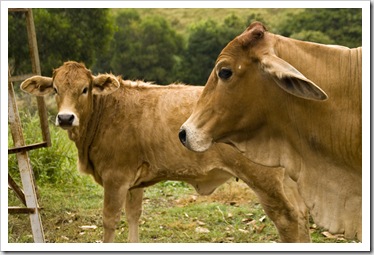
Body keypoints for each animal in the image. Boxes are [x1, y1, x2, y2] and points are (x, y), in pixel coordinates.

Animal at [20, 61, 310, 243]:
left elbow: (110, 220)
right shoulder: (133, 181)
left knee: (286, 219)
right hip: (289, 179)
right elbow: (133, 216)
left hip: (265, 179)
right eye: (55, 89)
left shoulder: (115, 177)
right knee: (301, 215)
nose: (65, 118)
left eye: (85, 89)